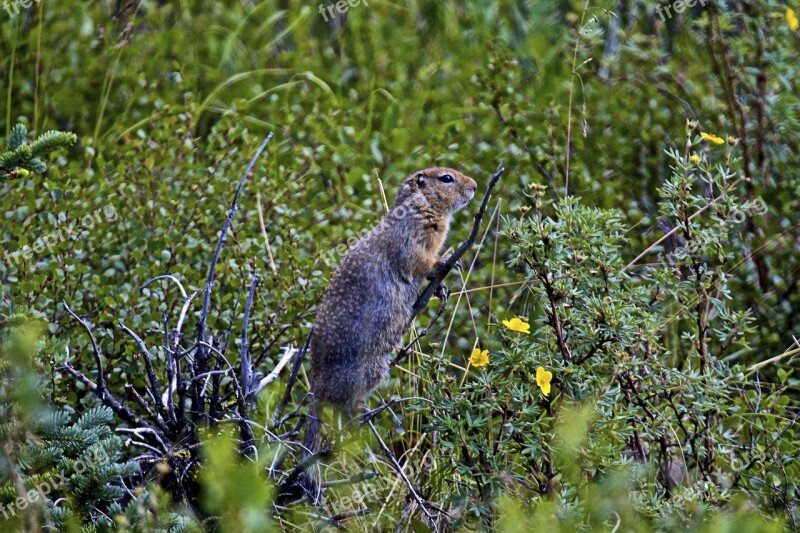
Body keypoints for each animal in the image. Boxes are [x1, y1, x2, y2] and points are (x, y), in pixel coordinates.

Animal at [300, 166, 476, 486]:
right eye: (446, 178)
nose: (476, 186)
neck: (422, 204)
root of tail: (315, 387)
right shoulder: (413, 233)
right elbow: (417, 260)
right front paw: (445, 262)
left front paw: (440, 288)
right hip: (368, 370)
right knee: (343, 404)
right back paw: (361, 414)